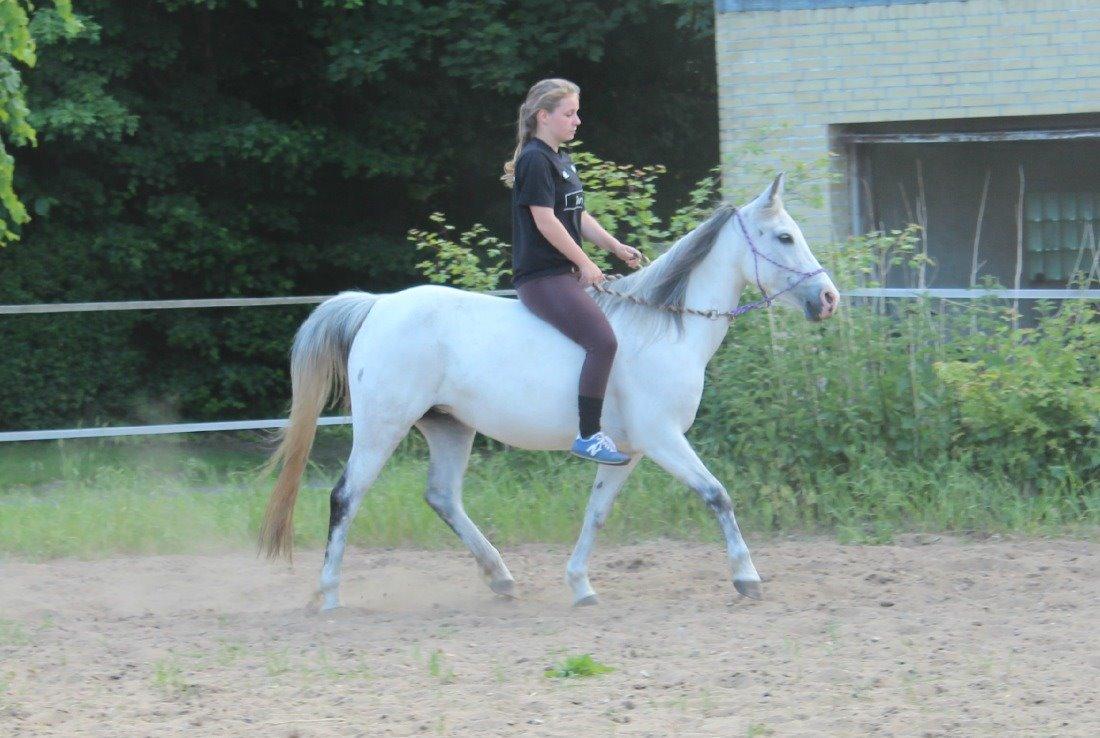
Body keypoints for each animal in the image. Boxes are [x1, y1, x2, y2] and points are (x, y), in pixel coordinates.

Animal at [259, 174, 840, 611]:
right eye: (784, 237)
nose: (829, 298)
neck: (665, 329)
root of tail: (377, 306)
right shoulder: (663, 439)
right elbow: (717, 494)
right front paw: (747, 578)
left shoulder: (629, 451)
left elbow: (596, 513)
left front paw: (581, 585)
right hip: (383, 427)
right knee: (346, 496)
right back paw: (328, 595)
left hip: (449, 427)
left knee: (442, 497)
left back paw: (499, 576)